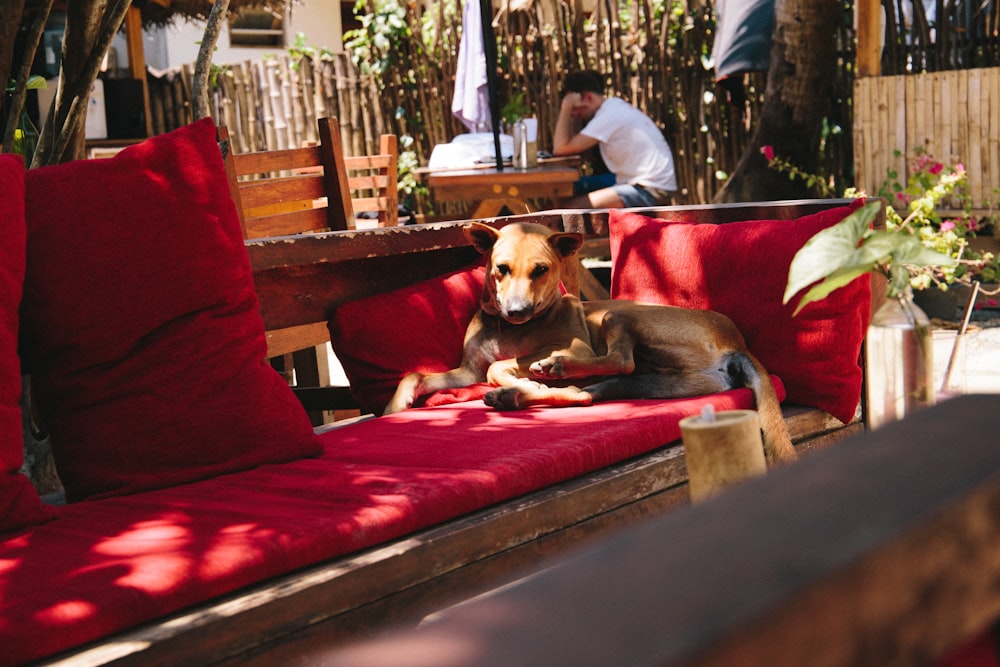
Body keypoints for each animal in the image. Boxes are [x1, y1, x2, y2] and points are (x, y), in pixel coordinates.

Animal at [382, 222, 796, 468]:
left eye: (541, 270)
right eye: (501, 268)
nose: (517, 311)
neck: (505, 328)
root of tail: (736, 342)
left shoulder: (571, 344)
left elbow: (499, 366)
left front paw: (525, 375)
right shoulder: (466, 370)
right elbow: (418, 373)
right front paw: (395, 406)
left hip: (618, 316)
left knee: (621, 359)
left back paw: (546, 374)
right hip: (650, 384)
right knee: (586, 394)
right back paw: (517, 396)